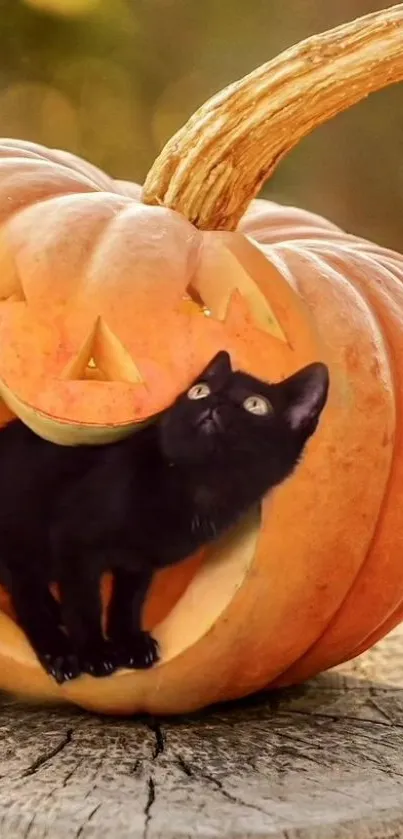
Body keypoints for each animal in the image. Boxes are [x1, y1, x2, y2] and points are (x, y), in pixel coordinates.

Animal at [0, 350, 330, 684]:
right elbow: (84, 605)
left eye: (255, 405)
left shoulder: (139, 562)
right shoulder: (75, 543)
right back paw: (59, 652)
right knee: (26, 596)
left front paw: (131, 643)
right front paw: (95, 652)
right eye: (199, 391)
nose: (215, 402)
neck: (198, 486)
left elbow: (129, 601)